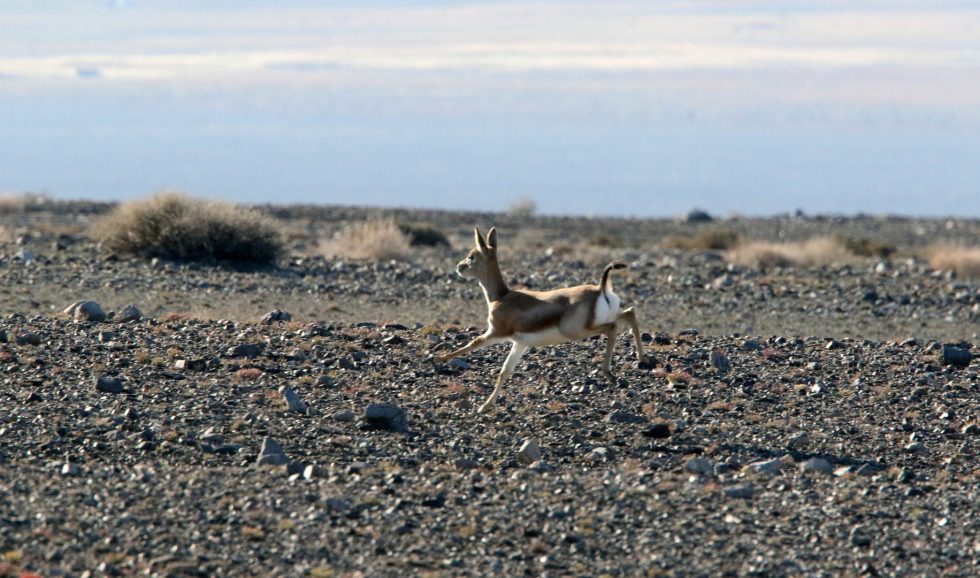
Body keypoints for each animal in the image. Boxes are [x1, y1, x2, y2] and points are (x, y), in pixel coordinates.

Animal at [436, 226, 648, 413]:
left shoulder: (495, 333)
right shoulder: (519, 343)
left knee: (613, 327)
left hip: (576, 331)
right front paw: (486, 406)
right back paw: (641, 358)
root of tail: (600, 289)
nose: (459, 267)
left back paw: (610, 374)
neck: (501, 296)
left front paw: (439, 358)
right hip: (602, 319)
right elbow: (505, 371)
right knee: (630, 313)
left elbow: (473, 343)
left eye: (471, 255)